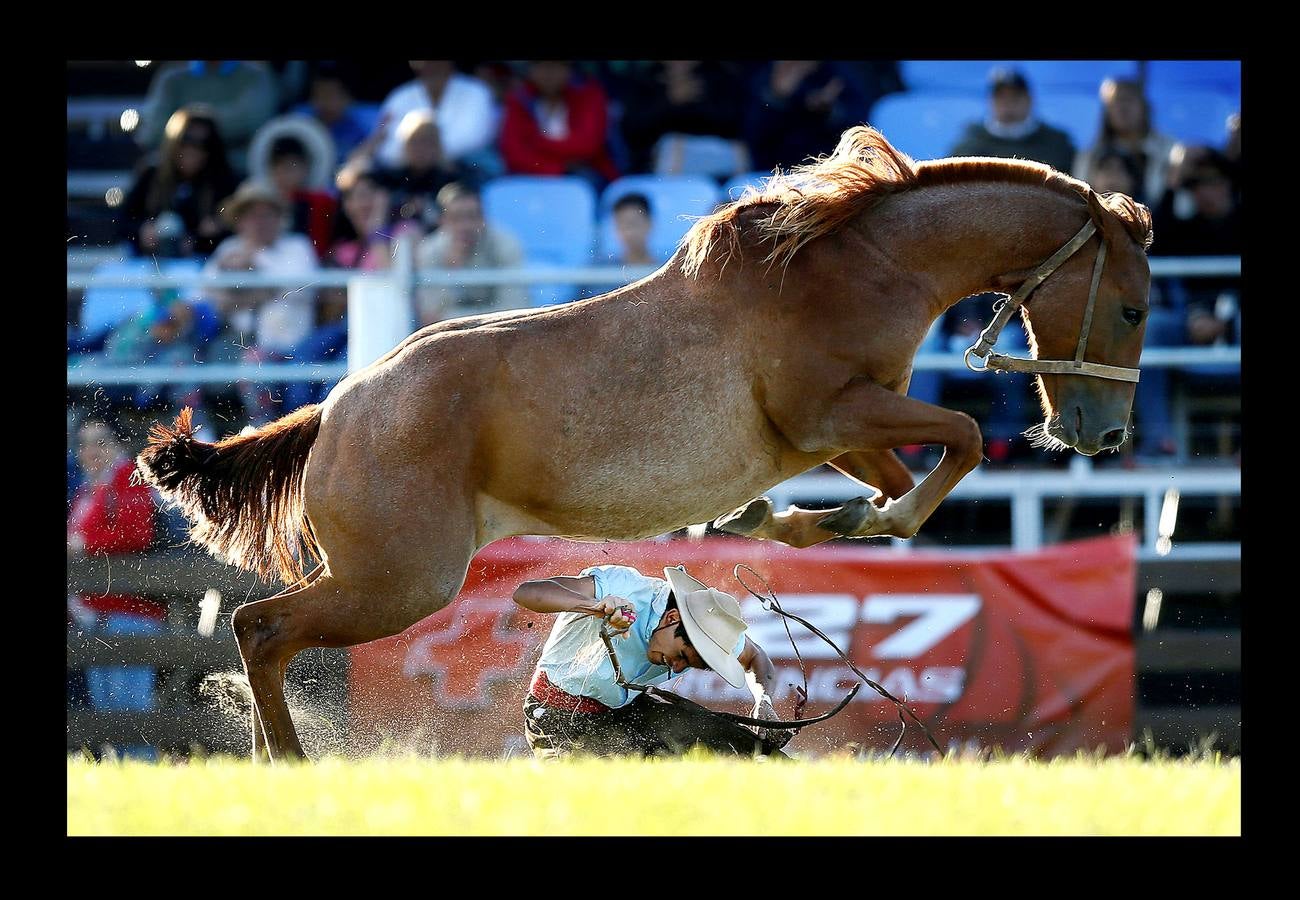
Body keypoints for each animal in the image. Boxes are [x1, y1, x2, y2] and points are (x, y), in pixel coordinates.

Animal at [137, 126, 1154, 759]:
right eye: (1135, 308)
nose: (1103, 433)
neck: (854, 266)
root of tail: (341, 409)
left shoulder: (839, 434)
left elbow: (898, 489)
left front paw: (781, 523)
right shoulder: (832, 415)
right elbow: (960, 445)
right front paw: (811, 520)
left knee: (260, 635)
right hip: (398, 582)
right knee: (260, 628)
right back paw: (291, 762)